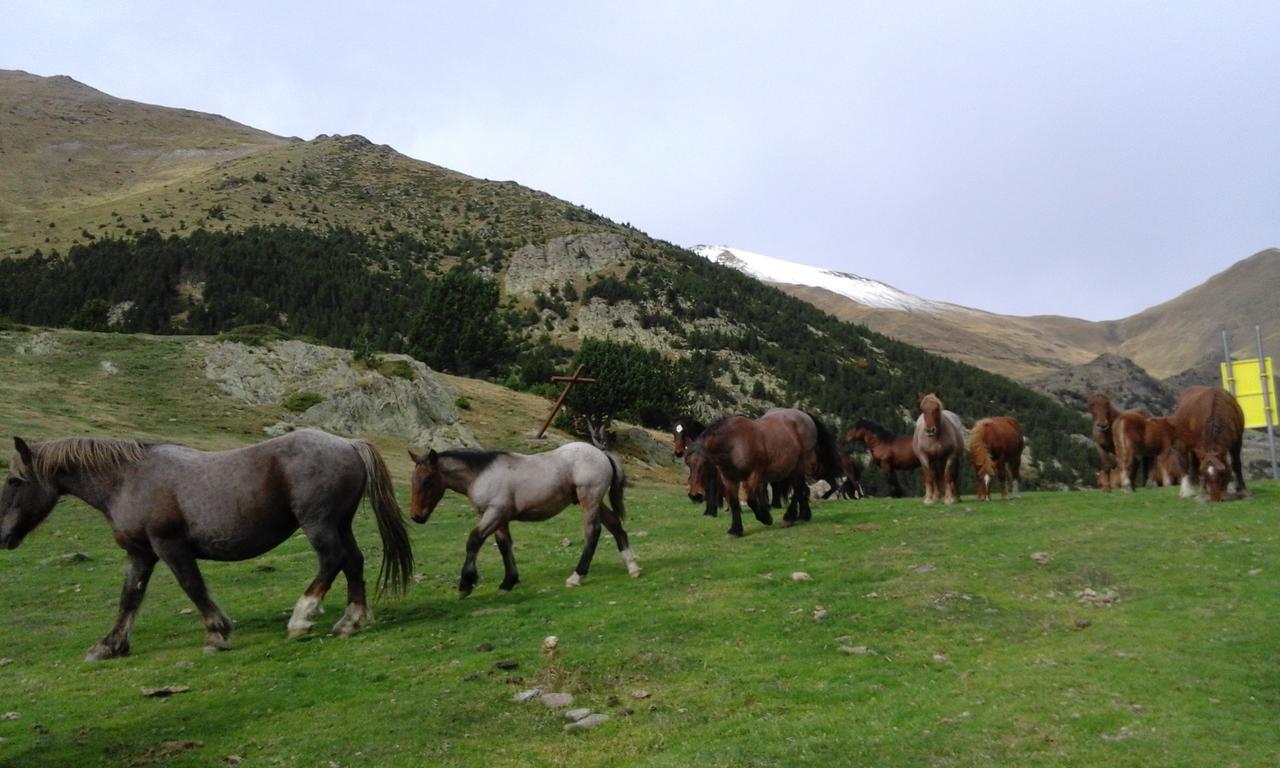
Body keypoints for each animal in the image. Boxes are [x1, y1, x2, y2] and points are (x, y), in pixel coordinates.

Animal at [0, 432, 409, 660]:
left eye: (14, 481)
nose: (4, 537)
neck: (129, 479)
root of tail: (349, 444)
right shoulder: (141, 552)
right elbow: (129, 597)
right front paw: (109, 645)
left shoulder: (169, 545)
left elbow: (192, 586)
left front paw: (217, 633)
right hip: (340, 523)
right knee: (353, 561)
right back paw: (350, 621)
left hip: (318, 524)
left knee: (332, 560)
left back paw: (301, 619)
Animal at [409, 440, 640, 596]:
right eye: (413, 480)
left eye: (428, 480)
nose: (416, 516)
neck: (482, 474)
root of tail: (601, 453)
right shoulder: (499, 518)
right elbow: (504, 546)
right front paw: (508, 582)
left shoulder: (495, 513)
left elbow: (474, 540)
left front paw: (466, 583)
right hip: (595, 502)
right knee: (615, 525)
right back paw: (632, 566)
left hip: (589, 500)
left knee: (593, 532)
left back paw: (577, 576)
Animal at [691, 404, 839, 537]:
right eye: (688, 463)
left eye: (704, 463)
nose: (694, 495)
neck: (735, 443)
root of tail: (805, 416)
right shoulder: (730, 479)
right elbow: (734, 503)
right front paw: (735, 530)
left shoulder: (754, 474)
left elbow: (751, 500)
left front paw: (766, 518)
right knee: (802, 489)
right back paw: (803, 516)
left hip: (800, 464)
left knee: (798, 489)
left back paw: (789, 518)